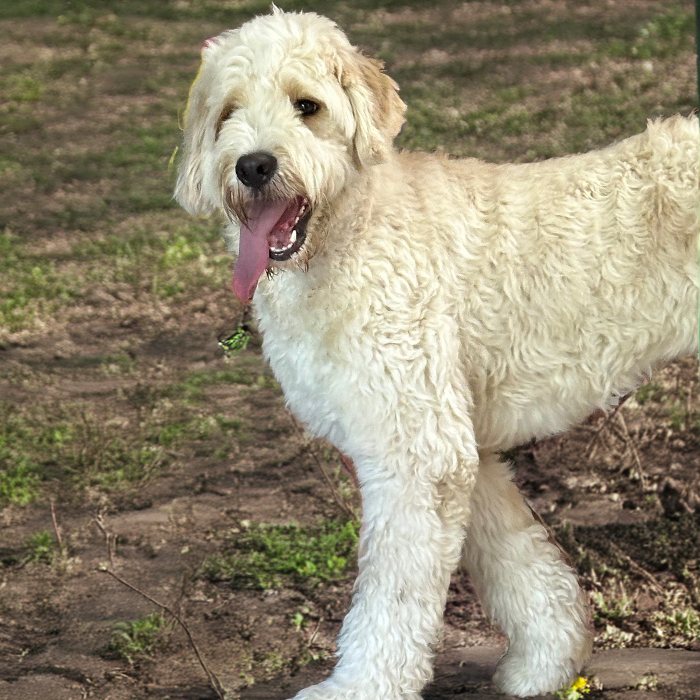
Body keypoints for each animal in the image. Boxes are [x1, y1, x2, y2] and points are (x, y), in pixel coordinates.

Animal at [176, 6, 700, 700]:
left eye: (307, 106)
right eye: (228, 112)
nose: (253, 166)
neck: (355, 229)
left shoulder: (418, 448)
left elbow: (392, 593)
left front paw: (358, 686)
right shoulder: (454, 440)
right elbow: (513, 556)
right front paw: (546, 659)